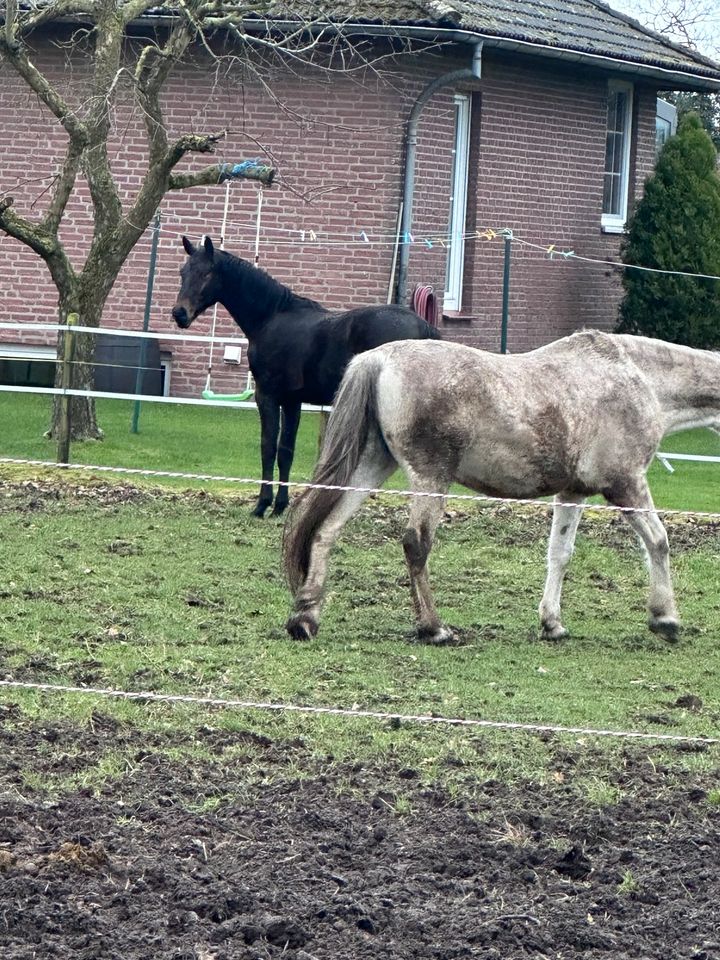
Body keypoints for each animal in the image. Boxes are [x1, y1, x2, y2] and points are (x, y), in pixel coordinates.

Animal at [172, 235, 442, 512]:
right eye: (183, 272)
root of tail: (425, 327)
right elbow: (286, 451)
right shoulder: (292, 401)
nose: (179, 313)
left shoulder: (267, 396)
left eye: (207, 273)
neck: (271, 317)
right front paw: (280, 505)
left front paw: (262, 504)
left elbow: (268, 446)